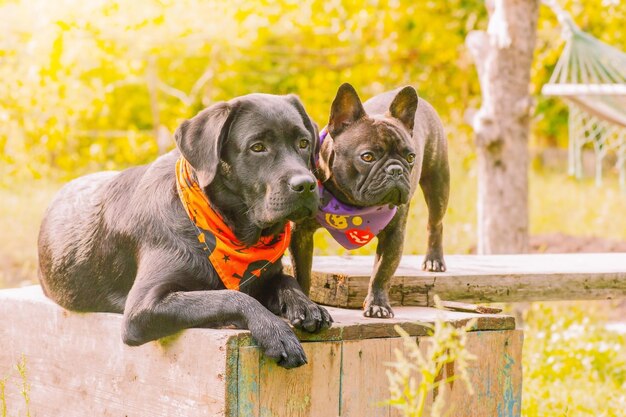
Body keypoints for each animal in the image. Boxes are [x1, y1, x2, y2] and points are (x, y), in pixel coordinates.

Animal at [39, 93, 332, 368]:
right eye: (257, 147)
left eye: (304, 143)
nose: (306, 185)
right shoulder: (142, 307)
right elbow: (229, 296)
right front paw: (275, 332)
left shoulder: (268, 273)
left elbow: (287, 280)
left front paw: (307, 306)